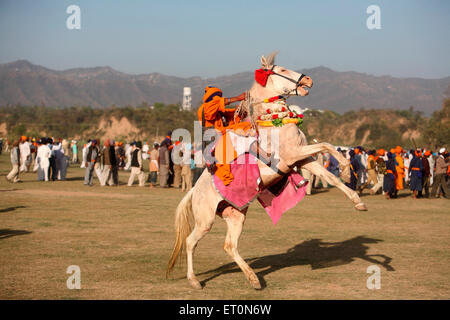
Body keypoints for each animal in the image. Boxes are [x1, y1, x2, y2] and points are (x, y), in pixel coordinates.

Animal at [165, 52, 366, 290]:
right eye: (282, 70)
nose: (308, 80)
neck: (275, 122)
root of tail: (194, 191)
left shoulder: (303, 159)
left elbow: (328, 174)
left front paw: (357, 200)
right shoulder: (293, 155)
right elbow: (326, 145)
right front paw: (345, 169)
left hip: (236, 215)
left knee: (229, 246)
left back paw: (253, 278)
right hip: (205, 220)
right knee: (190, 242)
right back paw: (194, 280)